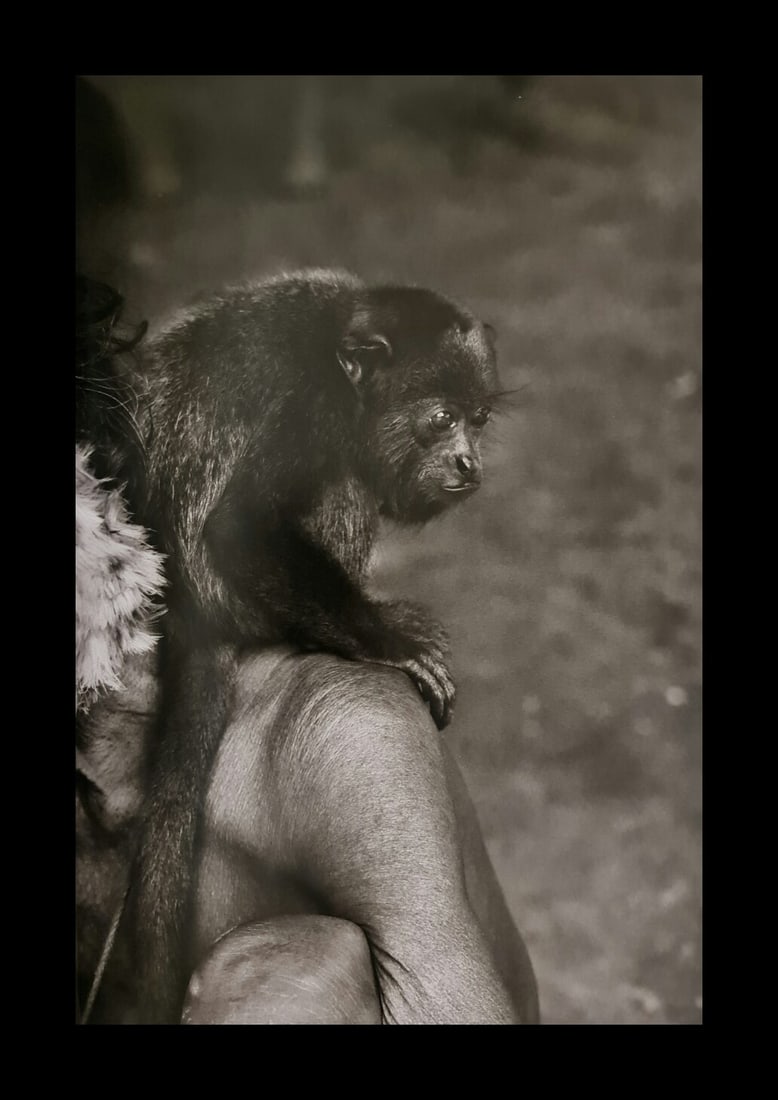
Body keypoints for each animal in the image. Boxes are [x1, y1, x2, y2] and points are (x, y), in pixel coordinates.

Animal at [120, 268, 504, 1023]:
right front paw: (388, 638)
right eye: (441, 419)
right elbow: (243, 527)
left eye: (478, 419)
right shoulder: (316, 413)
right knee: (341, 486)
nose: (470, 463)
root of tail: (195, 615)